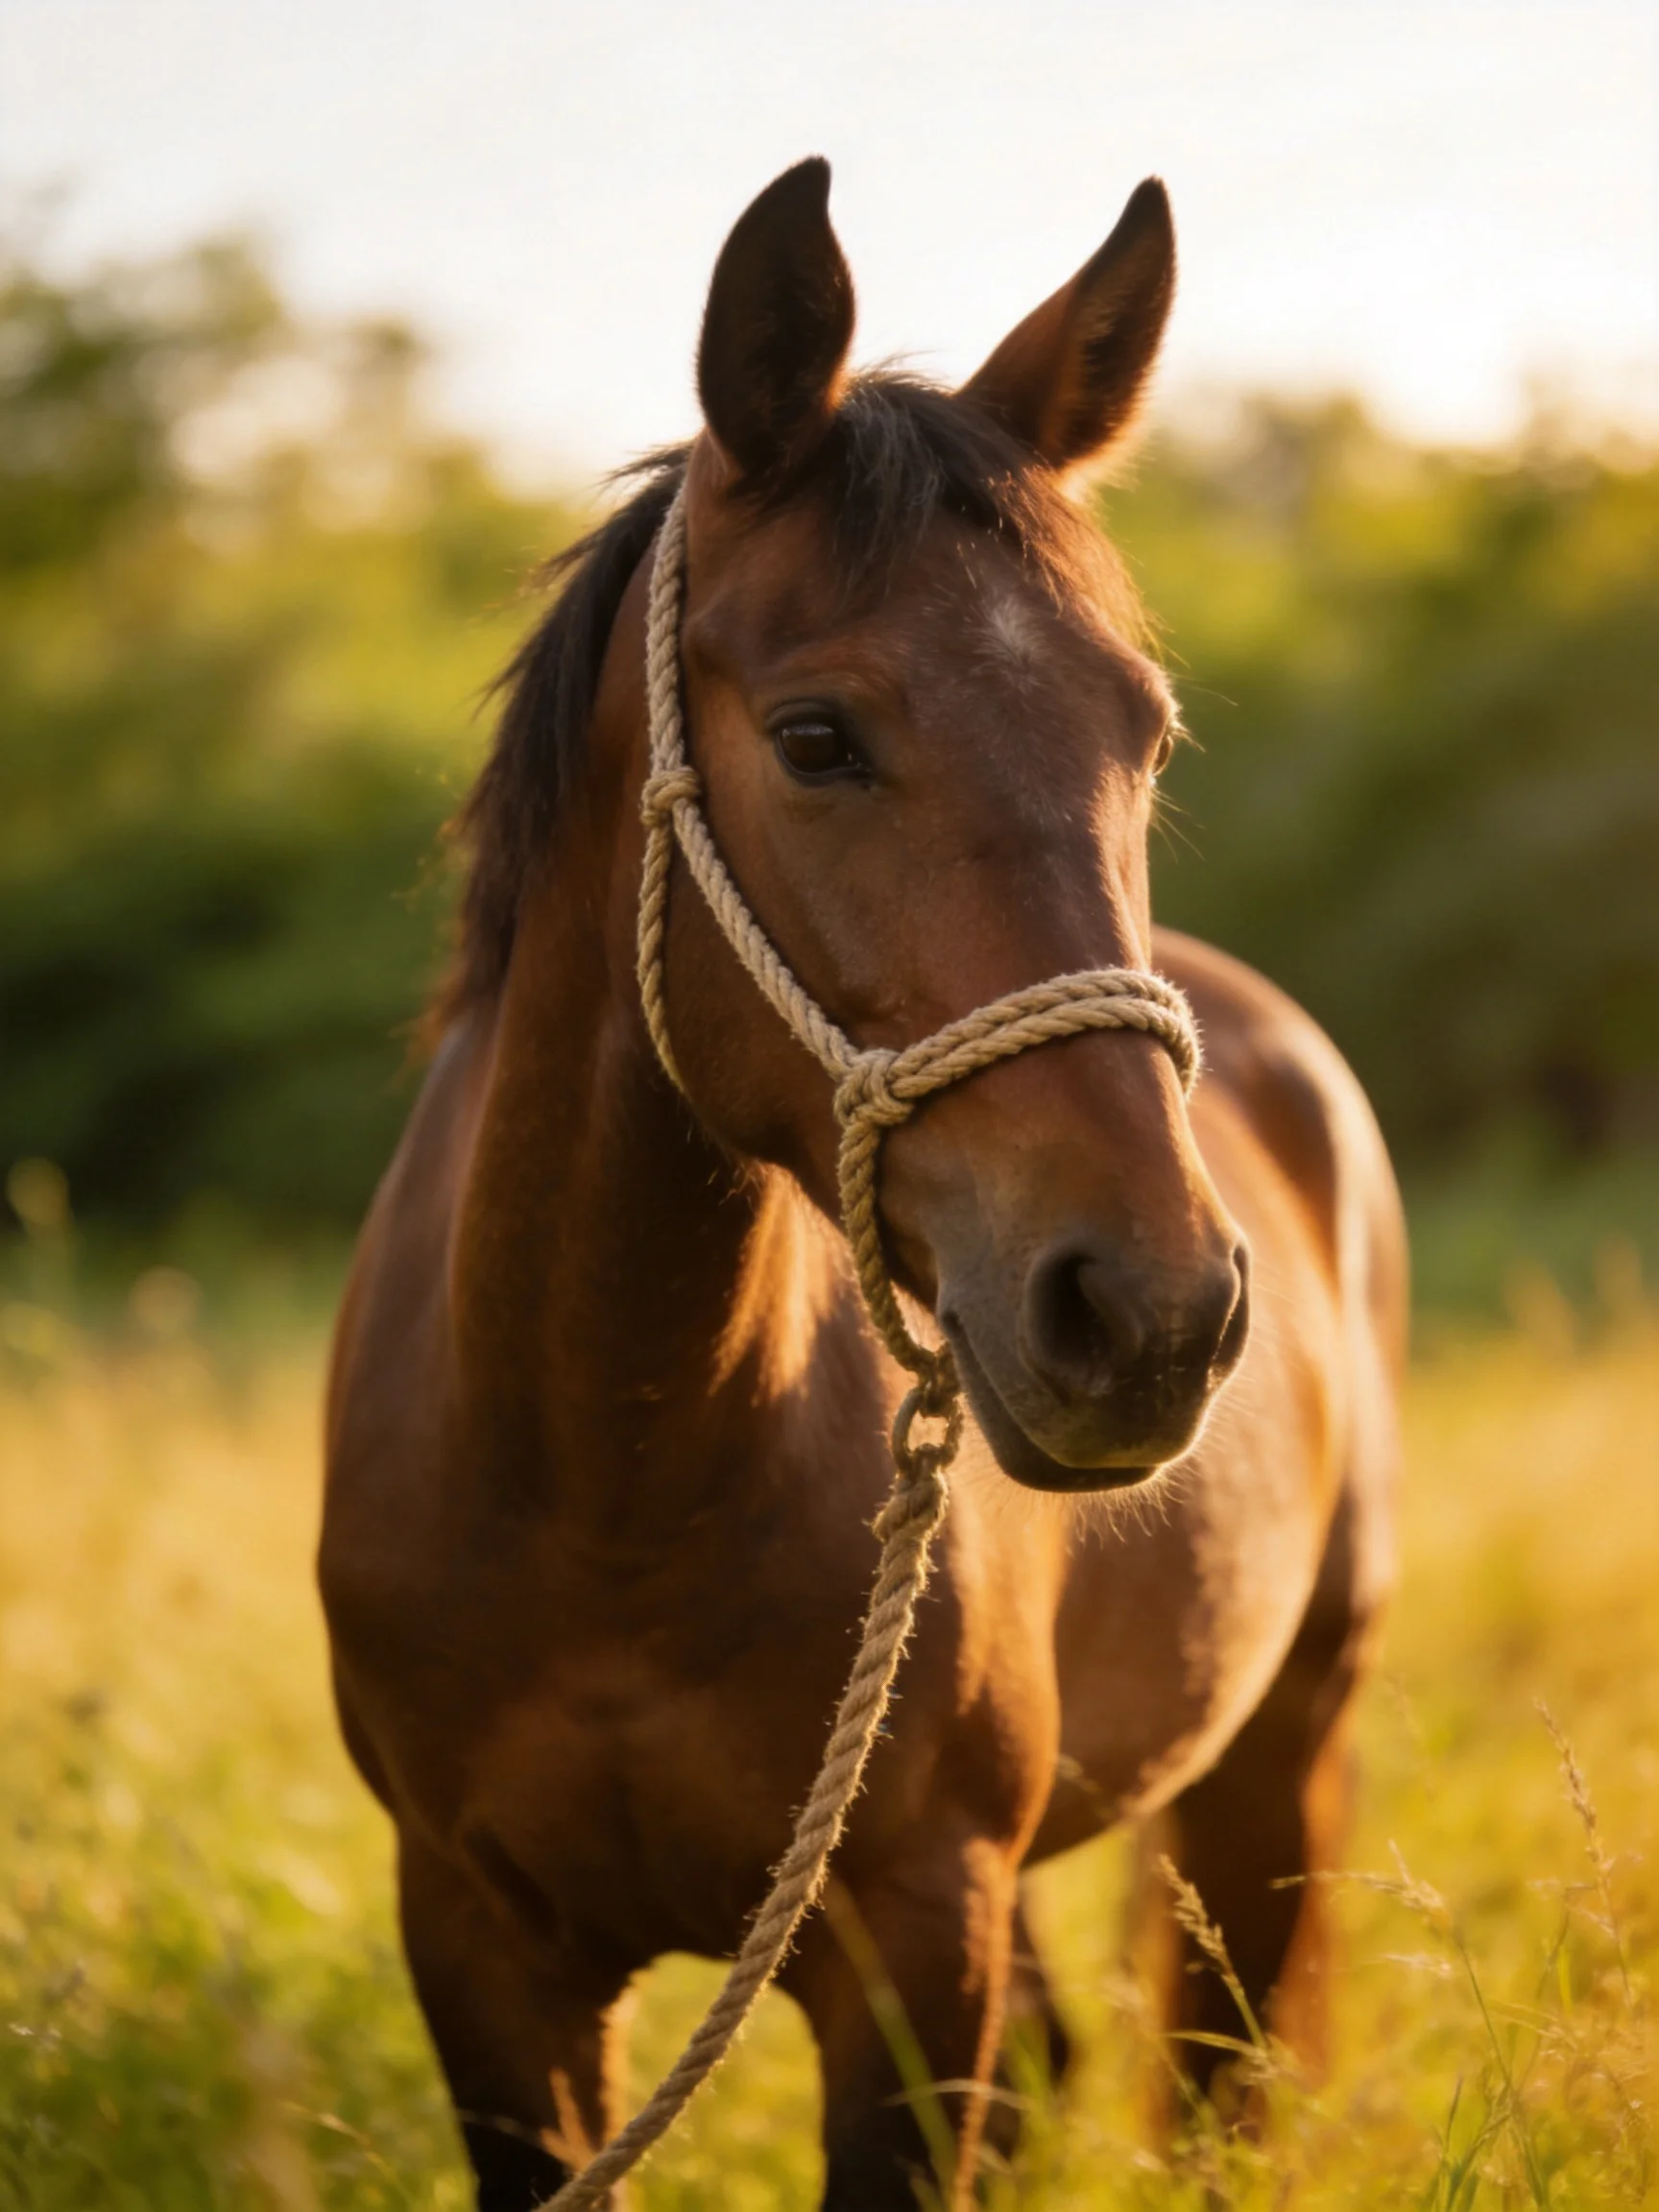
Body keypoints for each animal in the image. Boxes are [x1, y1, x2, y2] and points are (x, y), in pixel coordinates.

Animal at [321, 159, 1406, 2211]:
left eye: (1142, 732)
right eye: (817, 737)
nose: (1153, 1308)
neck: (607, 1476)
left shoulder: (911, 1935)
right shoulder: (481, 1952)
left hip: (1272, 1751)